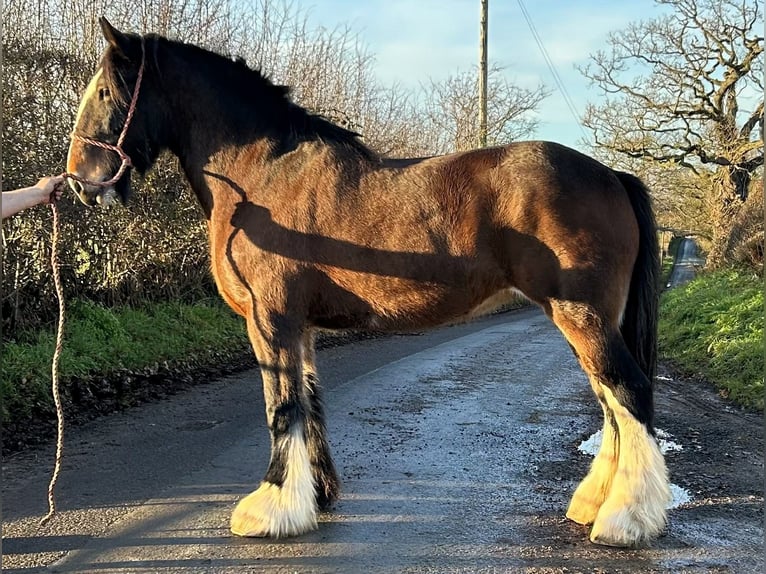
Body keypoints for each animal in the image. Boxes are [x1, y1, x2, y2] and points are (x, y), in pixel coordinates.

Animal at [66, 18, 671, 547]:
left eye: (105, 91)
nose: (77, 181)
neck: (261, 176)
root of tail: (610, 175)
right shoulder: (300, 327)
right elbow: (308, 402)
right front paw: (315, 497)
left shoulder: (271, 320)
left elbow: (280, 407)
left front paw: (270, 508)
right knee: (611, 405)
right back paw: (593, 503)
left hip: (581, 316)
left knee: (628, 392)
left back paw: (626, 520)